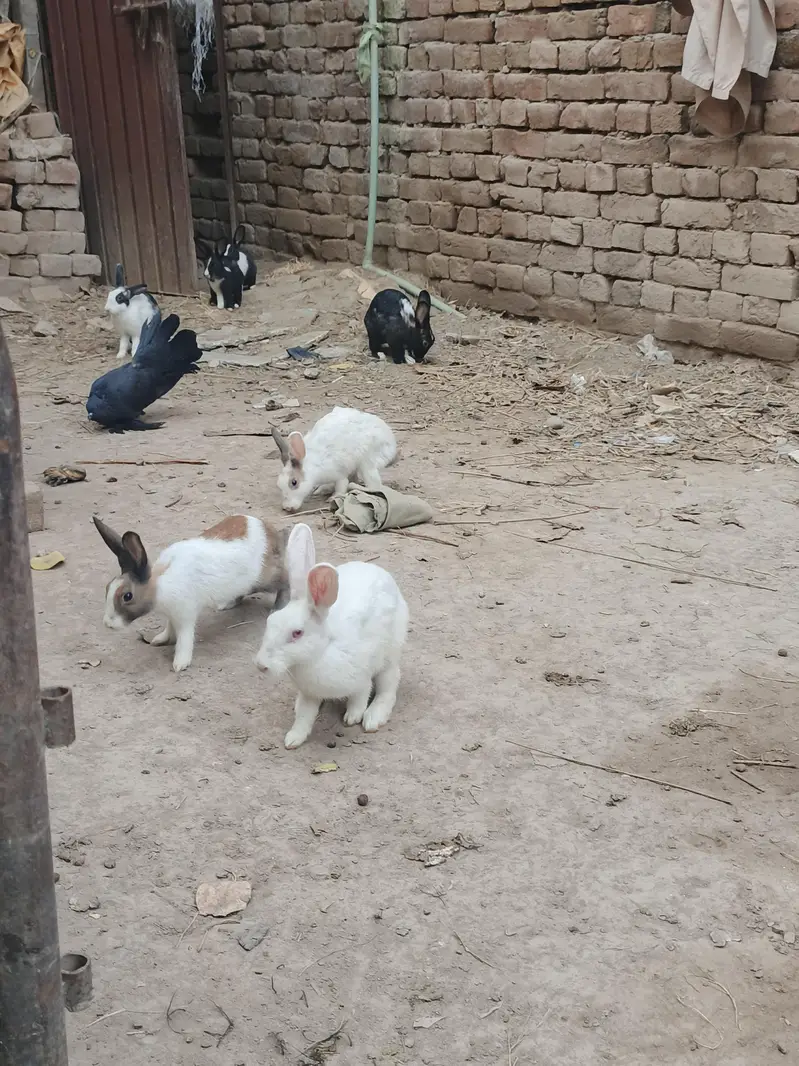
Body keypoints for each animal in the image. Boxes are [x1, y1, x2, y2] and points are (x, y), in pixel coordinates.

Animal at [93, 513, 289, 672]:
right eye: (107, 587)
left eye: (127, 596)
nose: (107, 624)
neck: (159, 585)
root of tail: (270, 532)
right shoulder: (172, 615)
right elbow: (169, 628)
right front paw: (160, 640)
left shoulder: (185, 615)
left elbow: (184, 639)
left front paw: (180, 664)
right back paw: (227, 604)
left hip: (266, 578)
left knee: (286, 581)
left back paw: (278, 607)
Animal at [255, 523, 409, 749]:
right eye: (270, 621)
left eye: (297, 633)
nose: (261, 665)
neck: (320, 652)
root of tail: (381, 572)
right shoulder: (309, 693)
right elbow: (304, 716)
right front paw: (293, 739)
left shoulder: (361, 678)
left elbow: (360, 696)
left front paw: (353, 717)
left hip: (389, 657)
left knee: (389, 686)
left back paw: (373, 717)